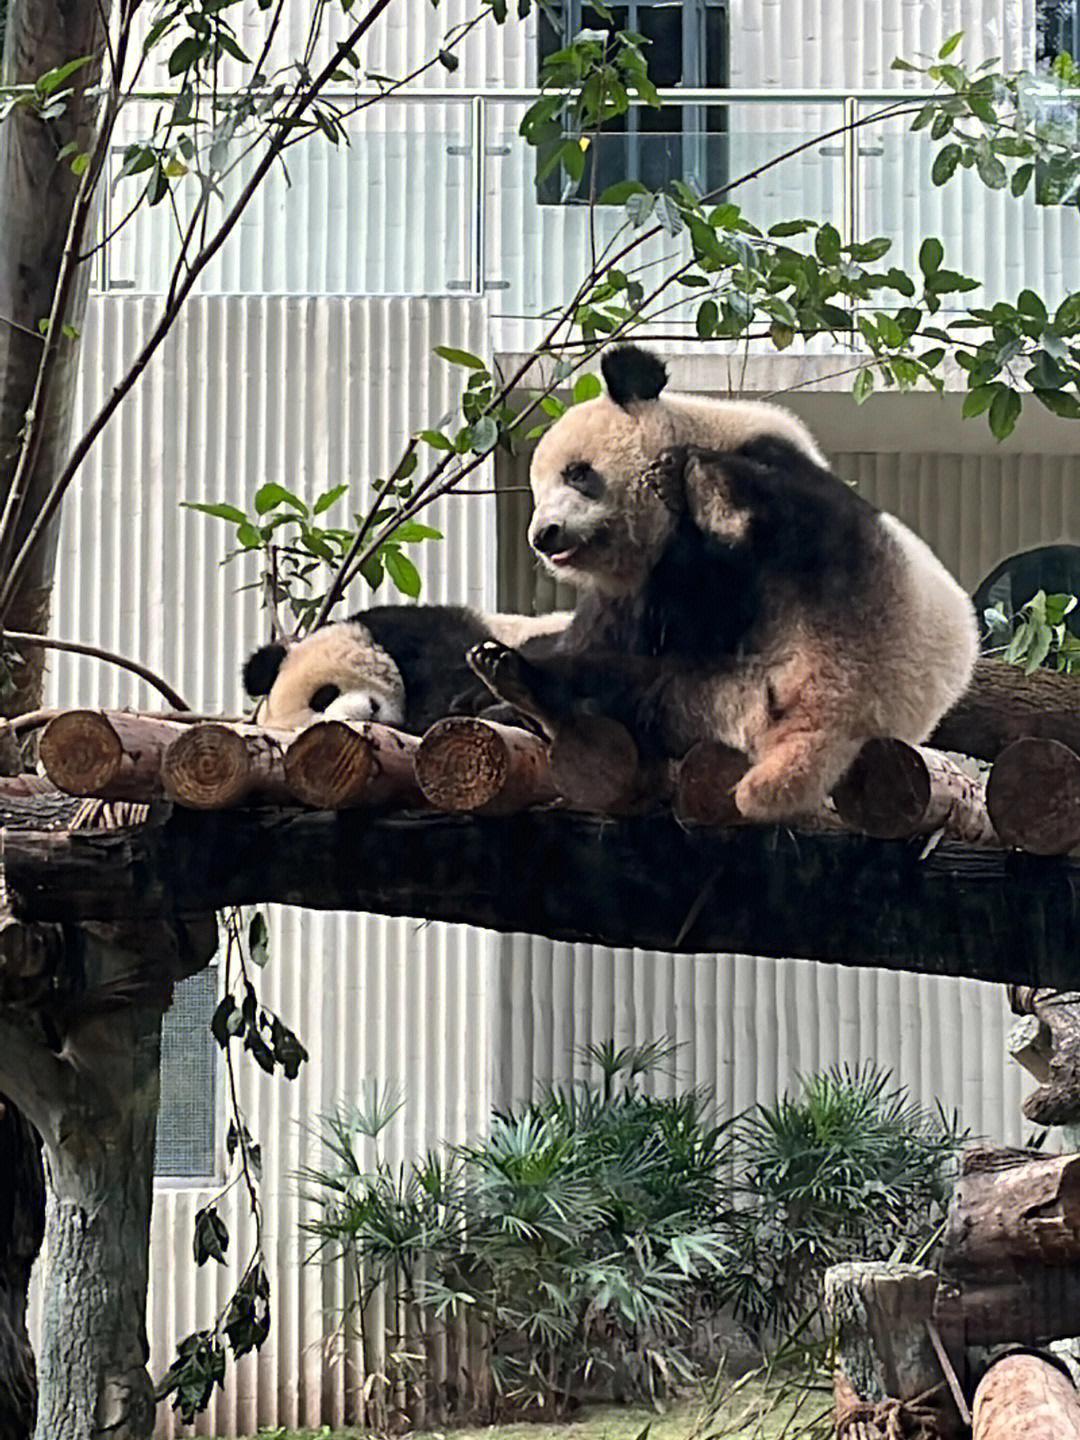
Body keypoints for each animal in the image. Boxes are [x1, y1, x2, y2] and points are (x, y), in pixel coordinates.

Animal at [466, 339, 979, 823]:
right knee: (629, 687)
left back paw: (709, 484)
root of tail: (831, 712)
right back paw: (516, 679)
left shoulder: (758, 466)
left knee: (796, 520)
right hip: (711, 701)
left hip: (865, 585)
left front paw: (684, 481)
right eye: (537, 491)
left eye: (577, 473)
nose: (543, 536)